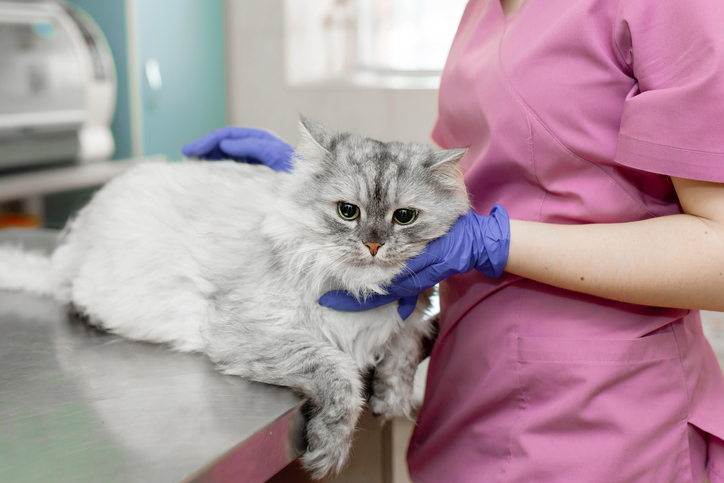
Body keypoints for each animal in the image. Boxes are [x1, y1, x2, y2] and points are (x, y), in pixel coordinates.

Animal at [0, 118, 470, 480]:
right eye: (347, 212)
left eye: (403, 217)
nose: (373, 245)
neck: (361, 292)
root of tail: (72, 242)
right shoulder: (247, 332)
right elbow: (340, 376)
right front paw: (329, 450)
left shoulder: (411, 319)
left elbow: (402, 355)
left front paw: (391, 402)